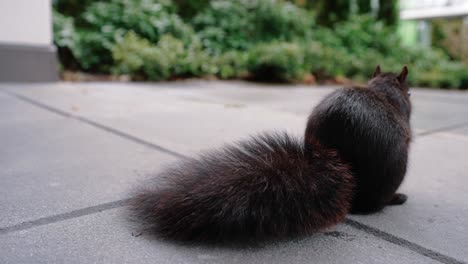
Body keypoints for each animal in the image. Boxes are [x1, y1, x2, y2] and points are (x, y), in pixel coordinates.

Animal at [128, 65, 410, 242]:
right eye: (409, 92)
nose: (408, 95)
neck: (383, 91)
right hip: (395, 170)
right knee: (372, 204)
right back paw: (396, 198)